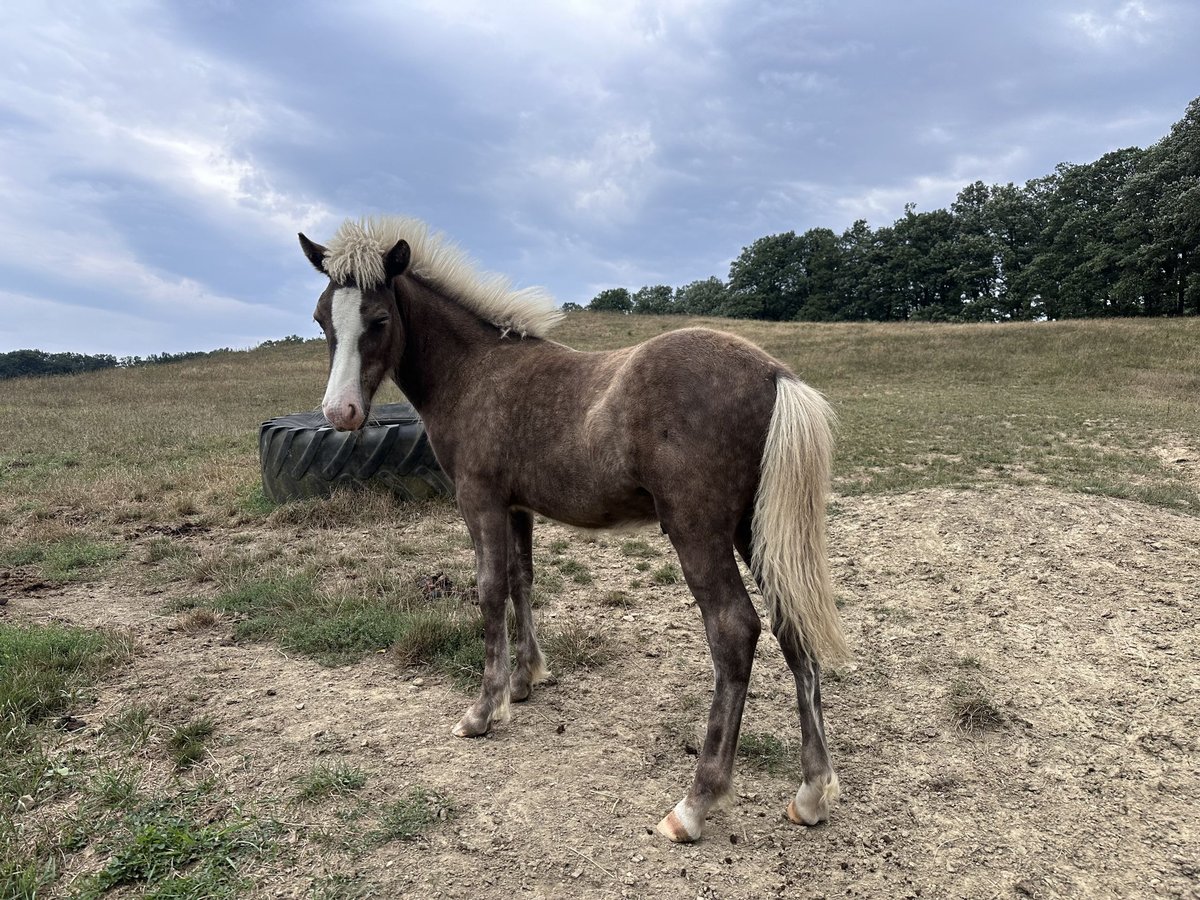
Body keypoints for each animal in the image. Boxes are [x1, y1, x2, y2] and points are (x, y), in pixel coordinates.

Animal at [297, 220, 844, 844]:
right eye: (322, 317)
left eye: (380, 318)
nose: (339, 414)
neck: (476, 371)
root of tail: (776, 374)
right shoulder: (518, 507)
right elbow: (521, 579)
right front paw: (524, 679)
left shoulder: (480, 500)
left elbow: (489, 590)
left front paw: (482, 711)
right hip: (755, 531)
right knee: (790, 624)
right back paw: (811, 792)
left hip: (698, 530)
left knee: (733, 631)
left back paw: (694, 804)